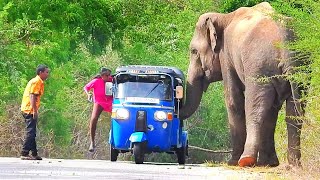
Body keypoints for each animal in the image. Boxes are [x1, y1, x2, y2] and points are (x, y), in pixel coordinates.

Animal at [181, 1, 304, 167]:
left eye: (194, 51)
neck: (224, 17)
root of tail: (286, 35)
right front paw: (268, 163)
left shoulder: (226, 55)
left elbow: (233, 100)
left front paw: (231, 162)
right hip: (299, 69)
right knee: (293, 113)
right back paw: (292, 165)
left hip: (258, 66)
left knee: (255, 107)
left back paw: (245, 160)